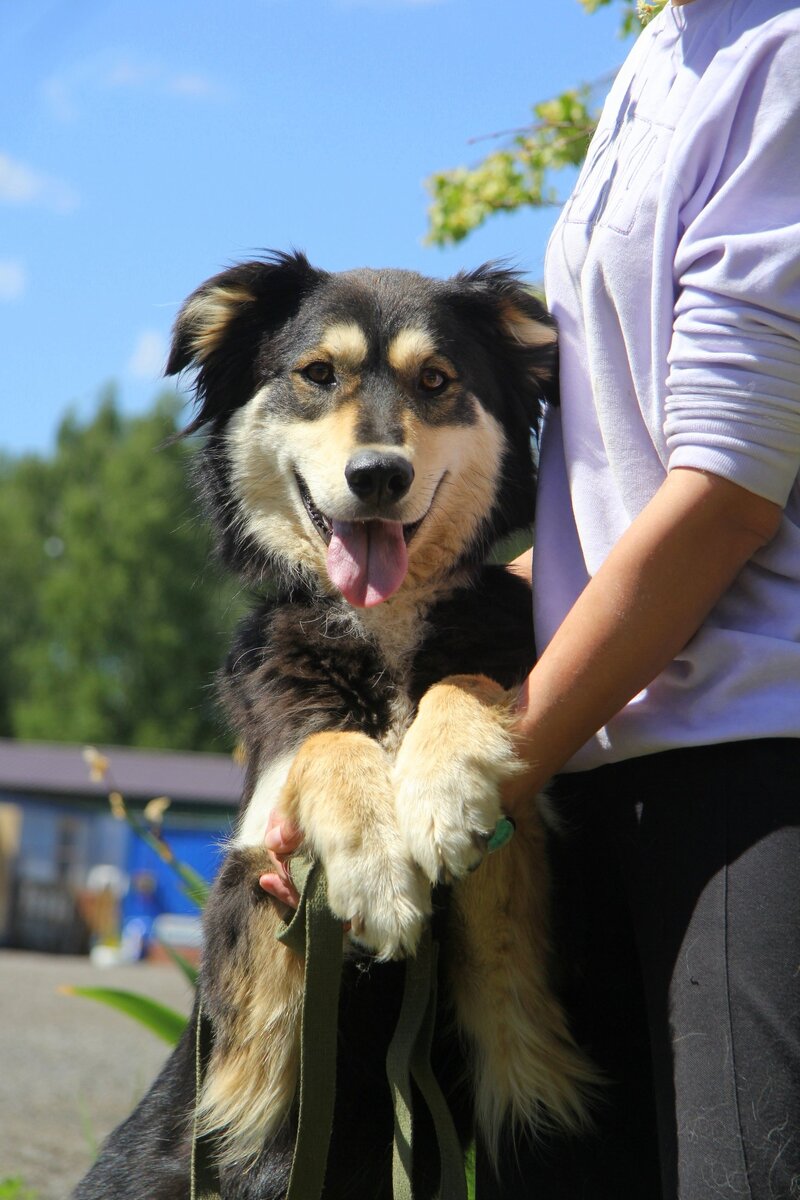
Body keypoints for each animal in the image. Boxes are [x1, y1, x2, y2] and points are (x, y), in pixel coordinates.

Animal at [73, 253, 594, 1200]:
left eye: (437, 381)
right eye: (318, 374)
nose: (379, 474)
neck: (381, 635)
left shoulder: (527, 1019)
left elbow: (467, 685)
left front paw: (441, 794)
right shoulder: (257, 902)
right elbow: (322, 739)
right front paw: (377, 863)